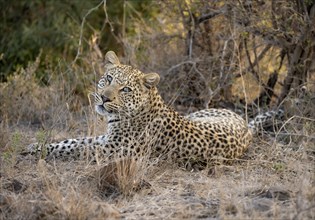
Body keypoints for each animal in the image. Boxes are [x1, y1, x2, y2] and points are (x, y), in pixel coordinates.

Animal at [27, 50, 260, 168]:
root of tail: (246, 127)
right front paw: (37, 145)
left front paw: (39, 150)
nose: (104, 98)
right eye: (108, 78)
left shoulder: (111, 150)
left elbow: (75, 148)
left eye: (126, 89)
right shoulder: (106, 139)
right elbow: (73, 141)